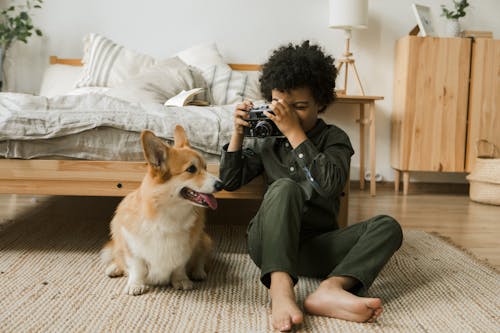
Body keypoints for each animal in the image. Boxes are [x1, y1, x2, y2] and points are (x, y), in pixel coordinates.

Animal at [100, 125, 222, 296]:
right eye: (191, 169)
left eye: (205, 167)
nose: (221, 184)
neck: (169, 212)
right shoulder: (132, 245)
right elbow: (137, 267)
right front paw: (135, 284)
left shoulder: (184, 249)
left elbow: (179, 266)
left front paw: (181, 280)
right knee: (118, 256)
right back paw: (114, 268)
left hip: (204, 240)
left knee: (201, 258)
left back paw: (198, 272)